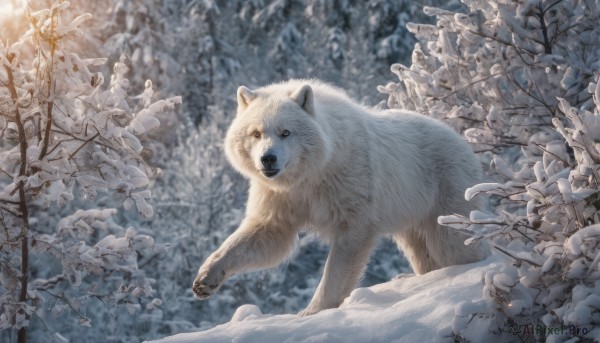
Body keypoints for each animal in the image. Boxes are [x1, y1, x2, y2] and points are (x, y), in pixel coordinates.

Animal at [192, 79, 482, 316]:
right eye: (255, 132)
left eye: (286, 132)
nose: (268, 159)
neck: (312, 172)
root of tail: (461, 140)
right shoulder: (280, 195)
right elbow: (267, 234)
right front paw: (204, 280)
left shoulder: (350, 185)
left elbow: (346, 251)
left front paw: (313, 310)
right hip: (409, 209)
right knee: (420, 249)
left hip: (446, 186)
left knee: (452, 241)